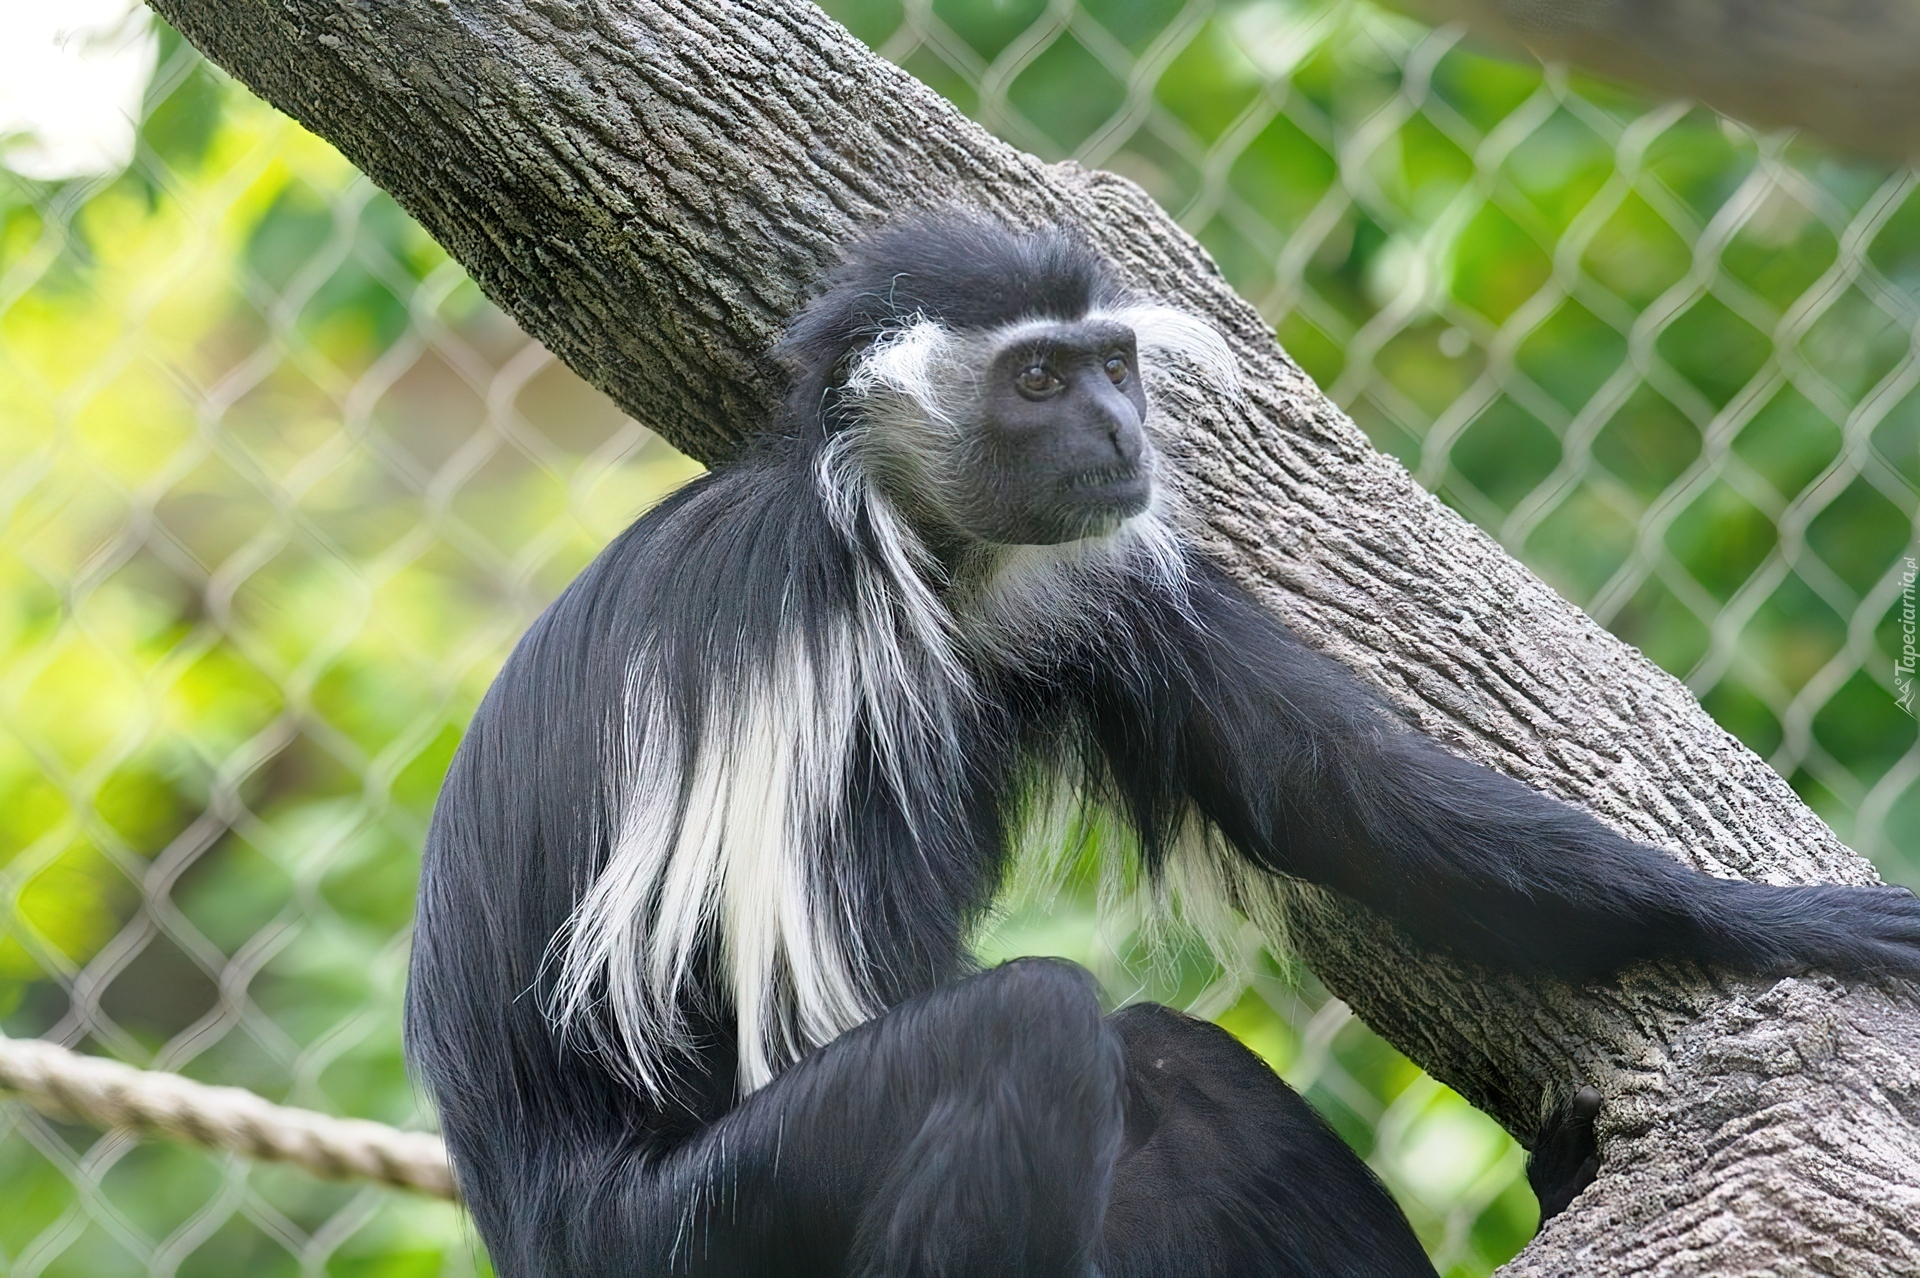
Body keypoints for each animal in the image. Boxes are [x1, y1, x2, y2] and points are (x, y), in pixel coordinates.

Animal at [412, 213, 1920, 1266]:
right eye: (1036, 378)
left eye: (1111, 363)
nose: (1120, 427)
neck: (917, 542)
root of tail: (527, 1207)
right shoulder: (812, 628)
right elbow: (826, 986)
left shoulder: (1094, 585)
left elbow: (1335, 791)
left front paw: (1792, 922)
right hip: (691, 1227)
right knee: (1028, 1029)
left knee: (1173, 1068)